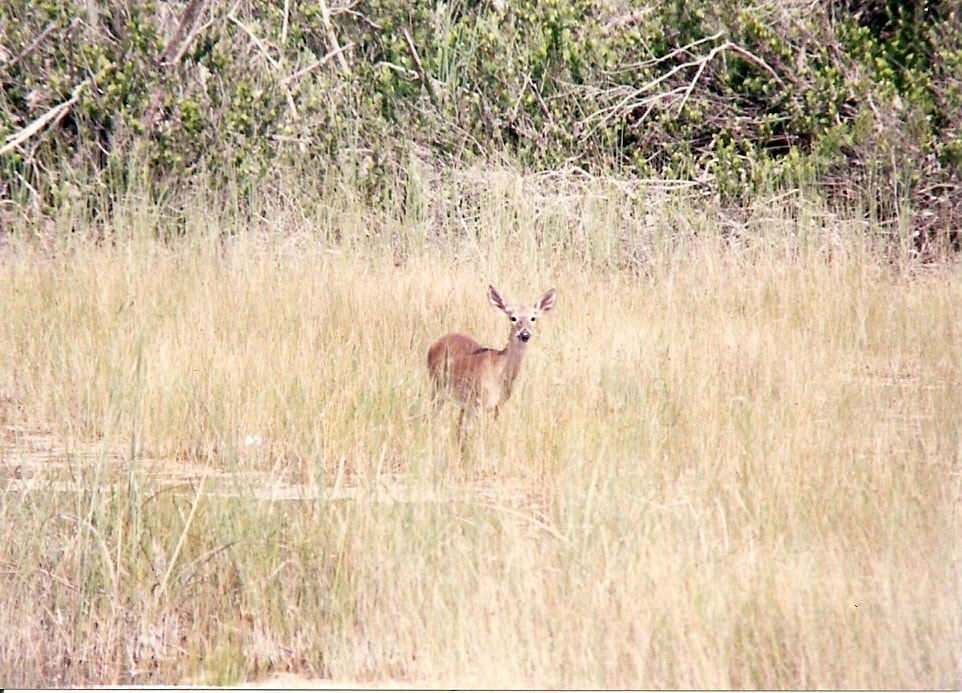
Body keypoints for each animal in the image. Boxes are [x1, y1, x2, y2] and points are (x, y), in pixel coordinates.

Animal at [427, 285, 557, 440]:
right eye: (513, 318)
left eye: (533, 318)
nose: (524, 334)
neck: (499, 372)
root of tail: (433, 345)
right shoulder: (480, 403)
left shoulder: (497, 406)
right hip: (437, 385)